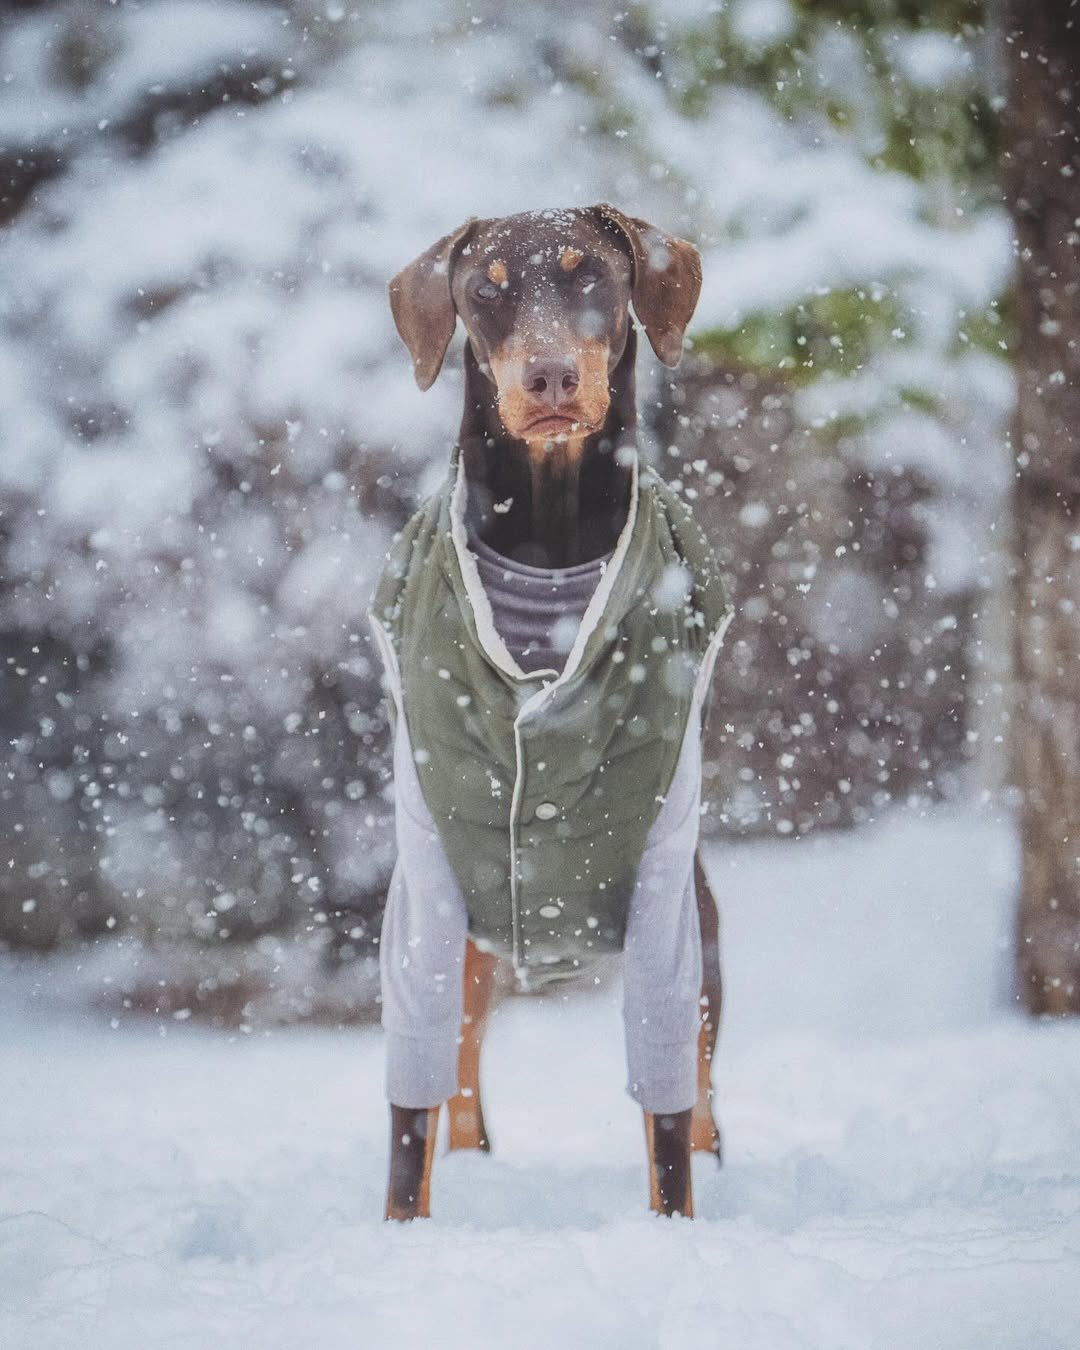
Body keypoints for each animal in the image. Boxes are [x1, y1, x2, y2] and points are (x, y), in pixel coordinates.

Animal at [372, 202, 734, 1225]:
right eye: (486, 286)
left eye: (589, 275)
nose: (549, 377)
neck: (546, 550)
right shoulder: (426, 867)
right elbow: (413, 1084)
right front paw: (399, 1233)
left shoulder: (664, 877)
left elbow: (666, 1089)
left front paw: (675, 1229)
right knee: (459, 1051)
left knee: (700, 1065)